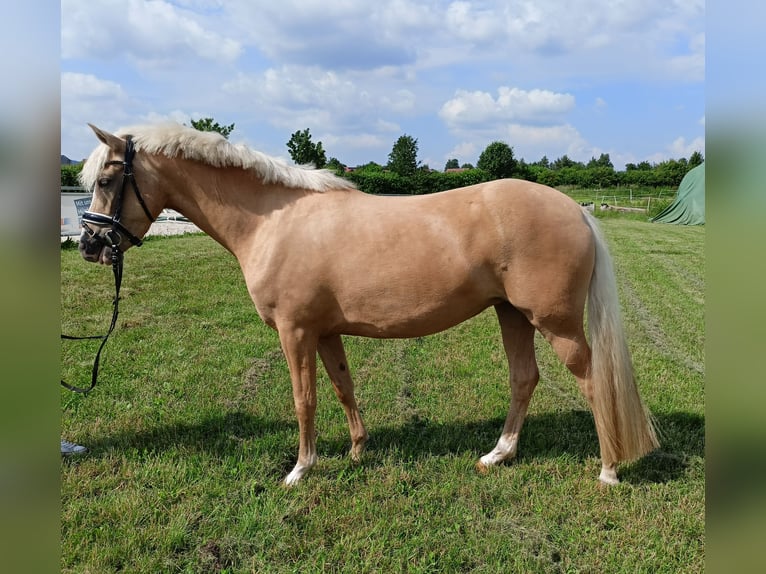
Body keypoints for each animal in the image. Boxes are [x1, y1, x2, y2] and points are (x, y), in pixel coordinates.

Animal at [78, 125, 660, 486]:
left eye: (107, 180)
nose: (89, 245)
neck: (274, 219)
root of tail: (575, 210)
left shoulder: (295, 331)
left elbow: (305, 399)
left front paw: (301, 470)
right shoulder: (326, 331)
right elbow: (342, 387)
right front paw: (358, 451)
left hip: (556, 324)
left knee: (594, 383)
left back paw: (609, 470)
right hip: (511, 314)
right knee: (524, 378)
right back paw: (498, 455)